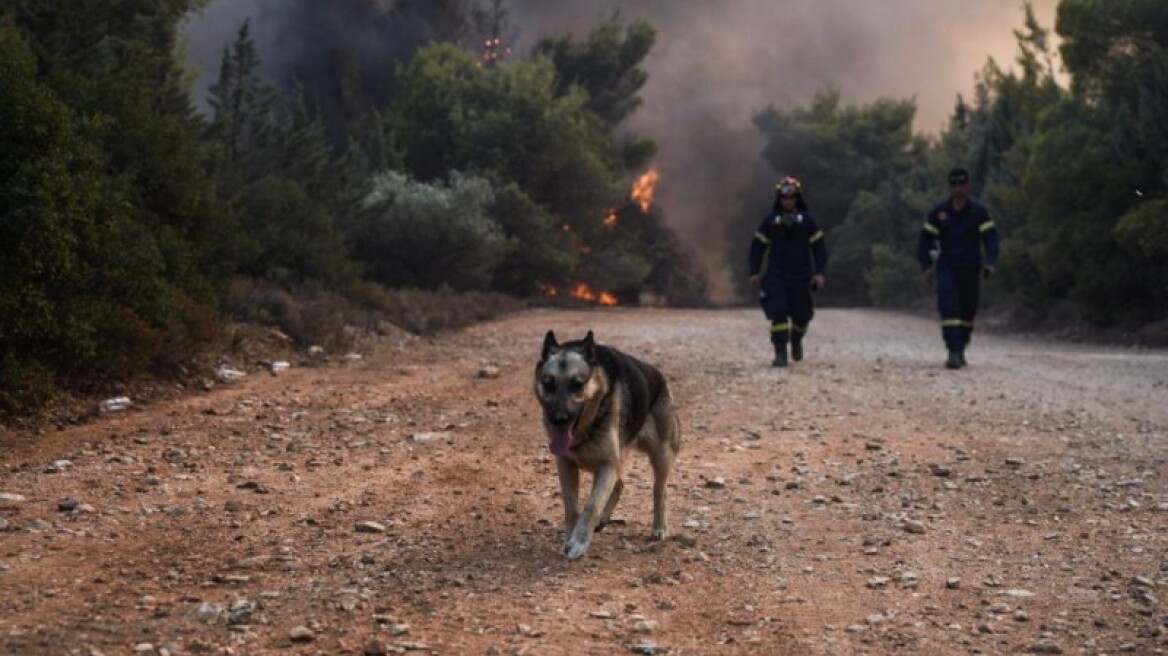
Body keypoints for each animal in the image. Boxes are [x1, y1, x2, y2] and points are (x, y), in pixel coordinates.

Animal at [532, 329, 682, 560]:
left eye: (577, 384)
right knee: (620, 485)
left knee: (659, 490)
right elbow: (571, 505)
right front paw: (570, 537)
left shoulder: (607, 465)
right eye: (549, 384)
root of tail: (660, 377)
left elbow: (591, 505)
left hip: (661, 456)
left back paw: (659, 526)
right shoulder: (567, 465)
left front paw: (579, 541)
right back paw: (603, 519)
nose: (558, 419)